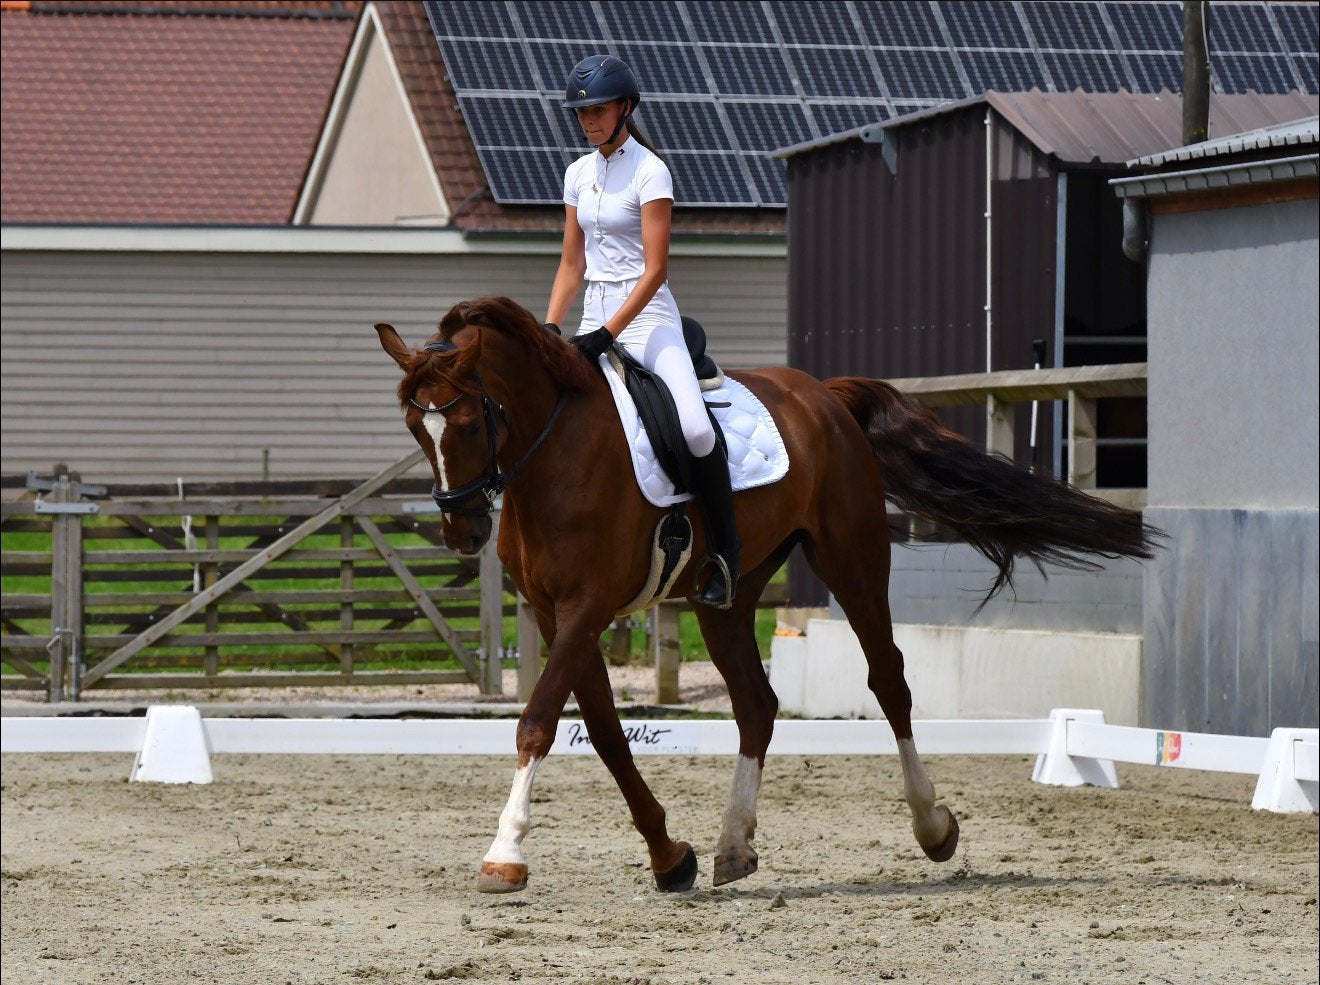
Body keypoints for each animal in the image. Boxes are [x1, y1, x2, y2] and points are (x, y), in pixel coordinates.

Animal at [374, 296, 1159, 894]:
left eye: (467, 421)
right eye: (415, 424)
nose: (462, 528)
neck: (555, 452)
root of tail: (824, 394)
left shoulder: (587, 607)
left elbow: (539, 722)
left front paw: (505, 853)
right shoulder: (554, 612)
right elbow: (604, 734)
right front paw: (671, 857)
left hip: (852, 560)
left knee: (889, 681)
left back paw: (932, 826)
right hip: (725, 596)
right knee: (757, 702)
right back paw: (733, 845)